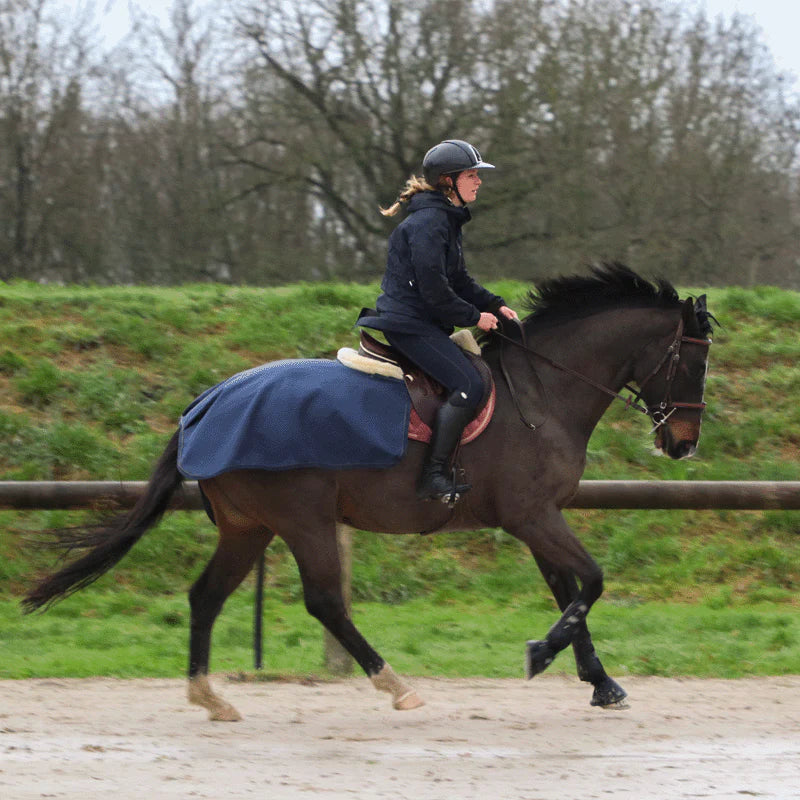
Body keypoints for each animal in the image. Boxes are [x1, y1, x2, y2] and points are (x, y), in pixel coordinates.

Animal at [23, 262, 712, 720]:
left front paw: (600, 682)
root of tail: (207, 403)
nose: (683, 444)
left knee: (206, 596)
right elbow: (590, 583)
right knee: (326, 603)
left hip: (249, 527)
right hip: (303, 520)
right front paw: (542, 653)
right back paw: (396, 685)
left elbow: (570, 592)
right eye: (693, 360)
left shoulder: (538, 518)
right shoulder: (533, 516)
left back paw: (210, 697)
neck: (542, 392)